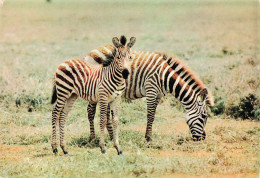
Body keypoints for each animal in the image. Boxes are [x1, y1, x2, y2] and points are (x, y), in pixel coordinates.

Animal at [86, 49, 214, 143]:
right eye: (204, 116)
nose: (202, 138)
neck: (166, 77)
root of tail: (90, 53)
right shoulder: (151, 90)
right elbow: (150, 115)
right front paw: (148, 138)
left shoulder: (158, 95)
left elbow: (153, 115)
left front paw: (149, 136)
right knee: (90, 111)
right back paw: (93, 138)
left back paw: (111, 137)